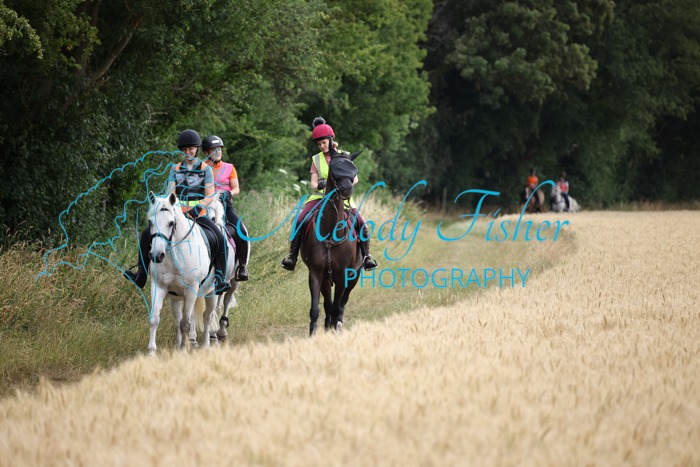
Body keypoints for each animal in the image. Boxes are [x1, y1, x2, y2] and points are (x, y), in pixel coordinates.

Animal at [145, 191, 238, 355]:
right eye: (150, 222)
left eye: (171, 223)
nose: (157, 255)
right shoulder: (159, 287)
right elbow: (155, 319)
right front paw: (151, 352)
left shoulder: (191, 290)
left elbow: (185, 324)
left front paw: (183, 350)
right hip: (176, 298)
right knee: (179, 320)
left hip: (212, 292)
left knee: (207, 316)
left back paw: (208, 343)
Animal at [300, 150, 363, 336]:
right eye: (334, 169)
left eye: (353, 170)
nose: (347, 189)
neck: (330, 233)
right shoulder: (315, 273)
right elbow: (316, 308)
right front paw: (313, 334)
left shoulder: (343, 275)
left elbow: (337, 305)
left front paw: (335, 328)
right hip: (326, 278)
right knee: (328, 302)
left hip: (354, 274)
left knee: (342, 301)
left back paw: (338, 323)